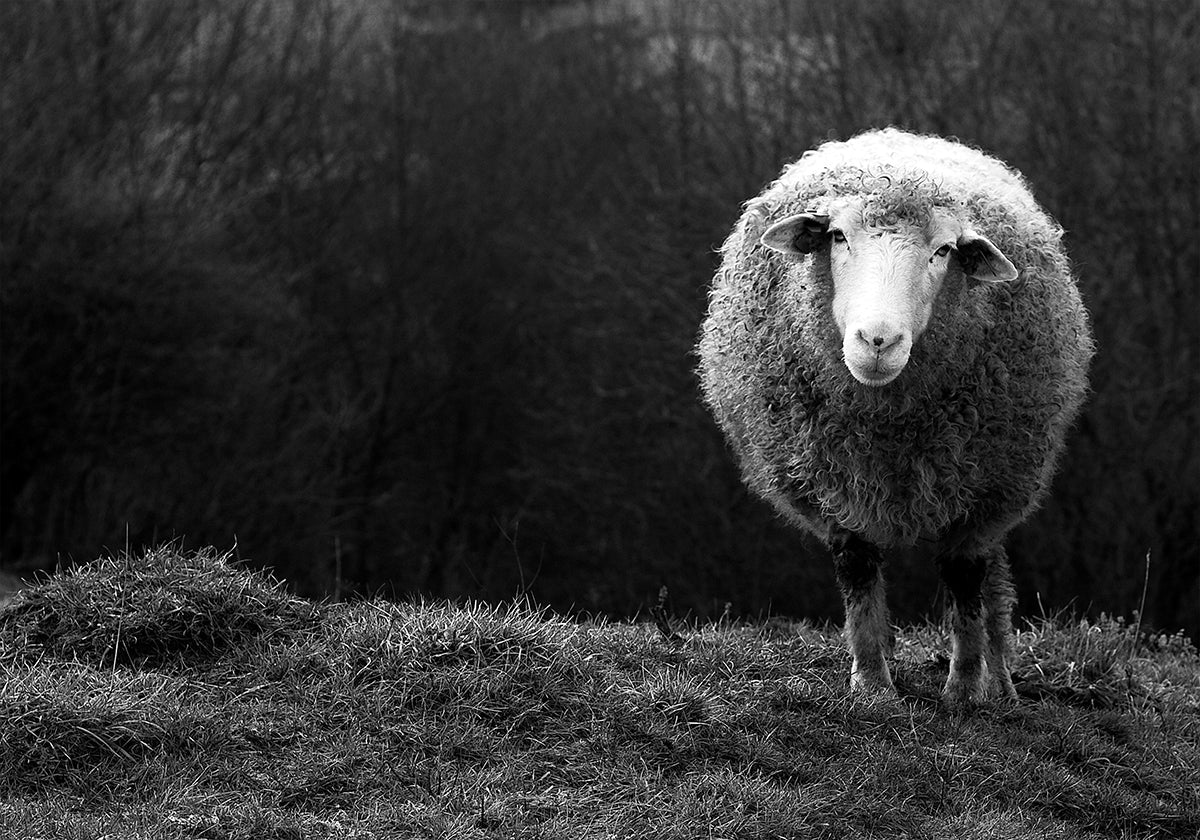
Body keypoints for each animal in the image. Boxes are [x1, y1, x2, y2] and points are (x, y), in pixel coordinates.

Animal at [697, 128, 1094, 707]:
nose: (877, 341)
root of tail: (899, 136)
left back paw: (1000, 682)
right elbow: (858, 569)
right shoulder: (833, 480)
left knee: (994, 583)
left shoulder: (982, 490)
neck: (890, 428)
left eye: (944, 250)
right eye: (838, 236)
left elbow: (965, 578)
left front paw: (964, 689)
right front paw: (871, 684)